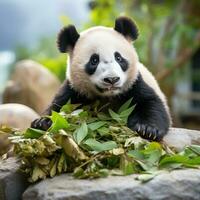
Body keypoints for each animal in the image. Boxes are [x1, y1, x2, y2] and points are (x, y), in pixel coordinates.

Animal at [31, 16, 172, 141]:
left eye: (118, 57)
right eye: (94, 60)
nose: (112, 79)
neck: (108, 97)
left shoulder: (133, 85)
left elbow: (151, 104)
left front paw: (148, 129)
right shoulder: (75, 90)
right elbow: (58, 106)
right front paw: (42, 122)